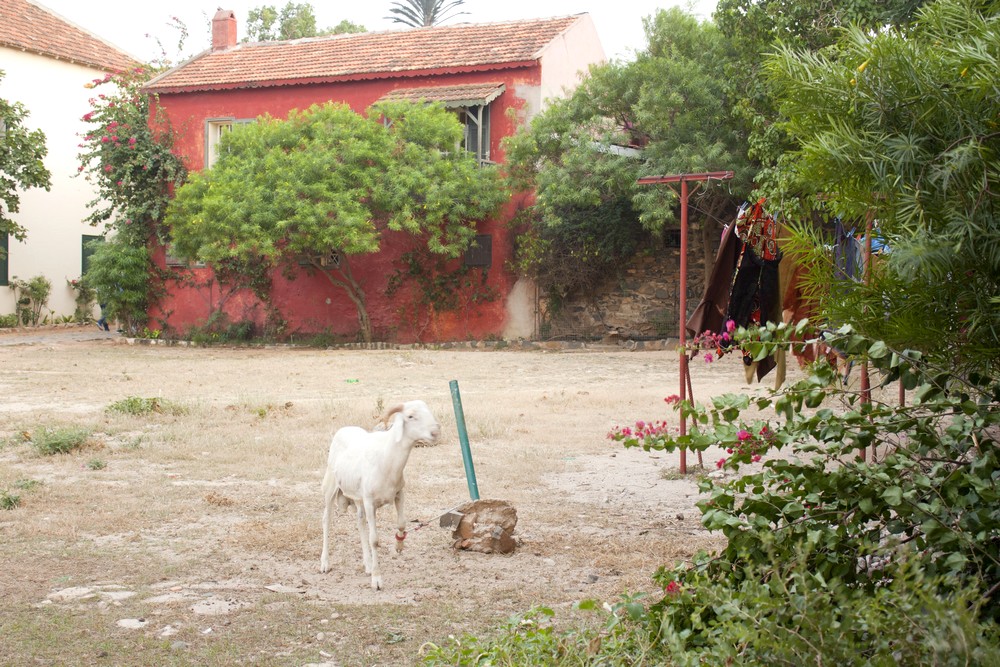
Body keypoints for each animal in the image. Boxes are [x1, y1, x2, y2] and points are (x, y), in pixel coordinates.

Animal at [318, 400, 440, 588]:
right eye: (410, 416)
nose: (435, 432)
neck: (387, 457)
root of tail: (344, 429)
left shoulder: (399, 493)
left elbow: (402, 523)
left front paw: (399, 545)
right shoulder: (370, 502)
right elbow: (374, 540)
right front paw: (376, 579)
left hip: (358, 497)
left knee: (360, 522)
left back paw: (367, 563)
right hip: (331, 487)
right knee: (326, 520)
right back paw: (325, 563)